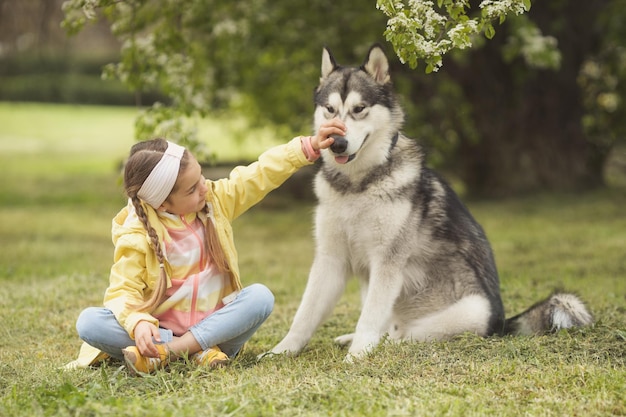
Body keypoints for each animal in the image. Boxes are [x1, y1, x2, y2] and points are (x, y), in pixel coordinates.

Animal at [268, 44, 588, 360]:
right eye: (330, 110)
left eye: (359, 109)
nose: (337, 144)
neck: (357, 184)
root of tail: (502, 324)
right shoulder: (330, 259)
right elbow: (305, 314)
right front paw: (282, 350)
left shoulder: (387, 262)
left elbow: (369, 318)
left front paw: (357, 356)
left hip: (472, 309)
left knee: (403, 337)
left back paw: (380, 345)